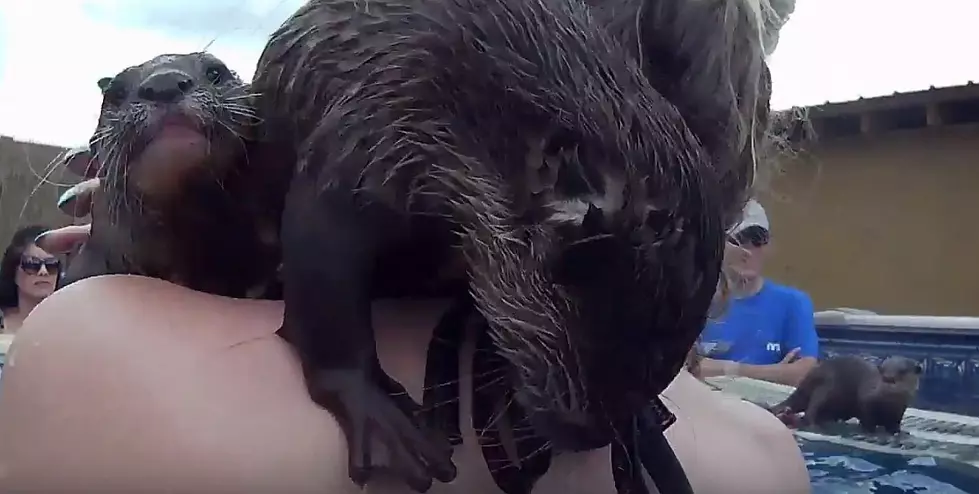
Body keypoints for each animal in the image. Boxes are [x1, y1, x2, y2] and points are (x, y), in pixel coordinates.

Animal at [770, 355, 922, 434]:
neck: (888, 405)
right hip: (825, 387)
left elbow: (895, 423)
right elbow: (867, 418)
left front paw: (898, 432)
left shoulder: (900, 409)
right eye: (882, 370)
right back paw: (813, 425)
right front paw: (869, 430)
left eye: (902, 371)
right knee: (811, 409)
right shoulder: (866, 400)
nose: (888, 378)